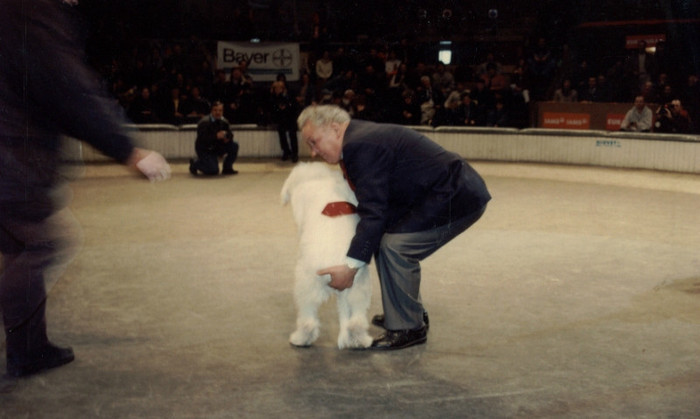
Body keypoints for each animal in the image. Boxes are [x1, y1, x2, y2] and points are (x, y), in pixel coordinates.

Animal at [282, 162, 374, 350]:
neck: (317, 176)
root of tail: (337, 265)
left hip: (306, 286)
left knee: (308, 320)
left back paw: (299, 339)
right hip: (359, 287)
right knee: (356, 321)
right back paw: (361, 340)